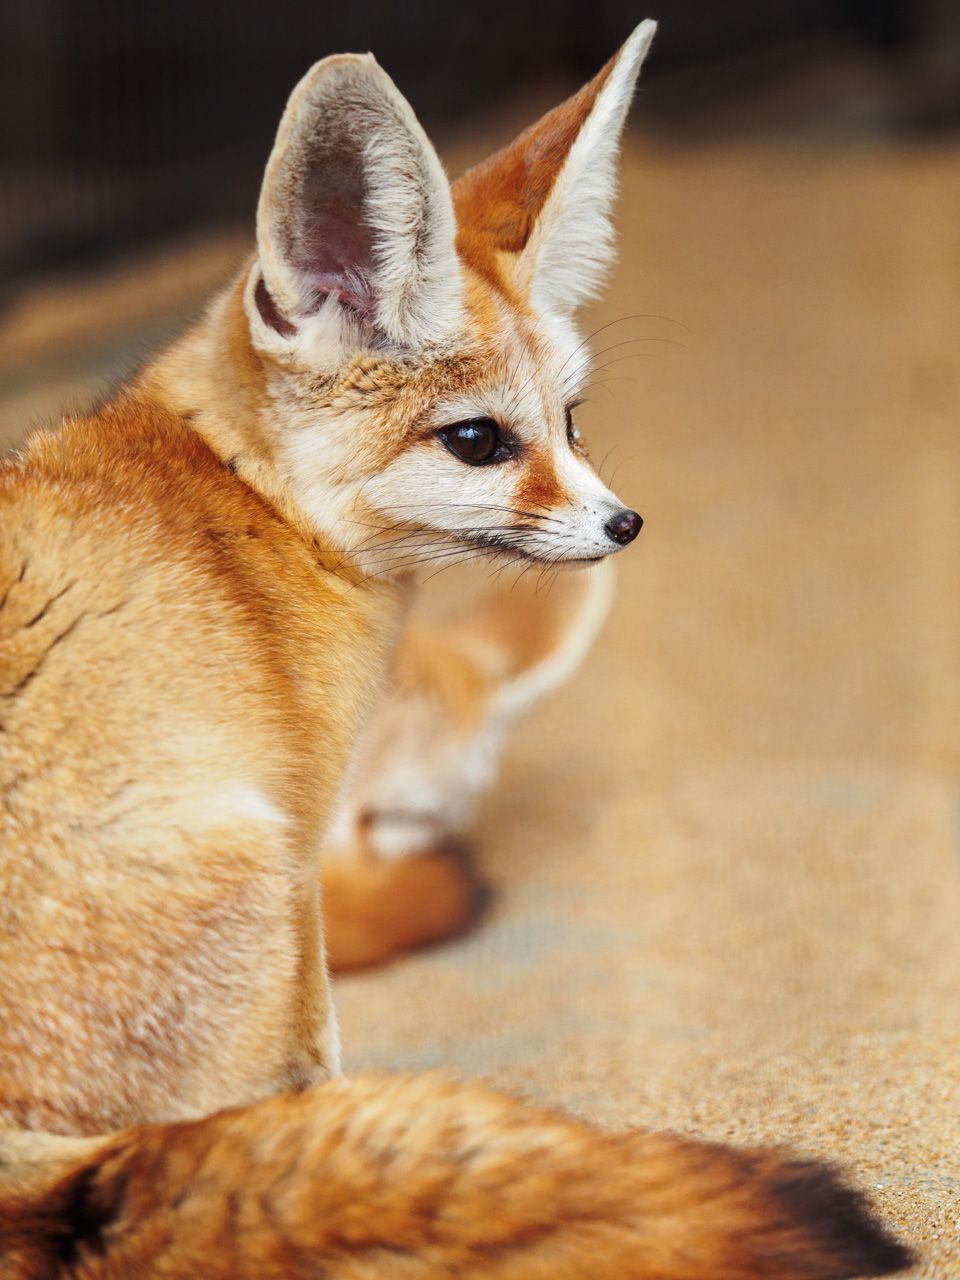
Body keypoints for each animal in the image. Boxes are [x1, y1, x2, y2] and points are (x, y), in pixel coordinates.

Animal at [0, 19, 914, 1279]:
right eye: (477, 441)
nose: (625, 523)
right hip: (245, 870)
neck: (240, 494)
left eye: (571, 422)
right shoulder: (301, 847)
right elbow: (320, 1060)